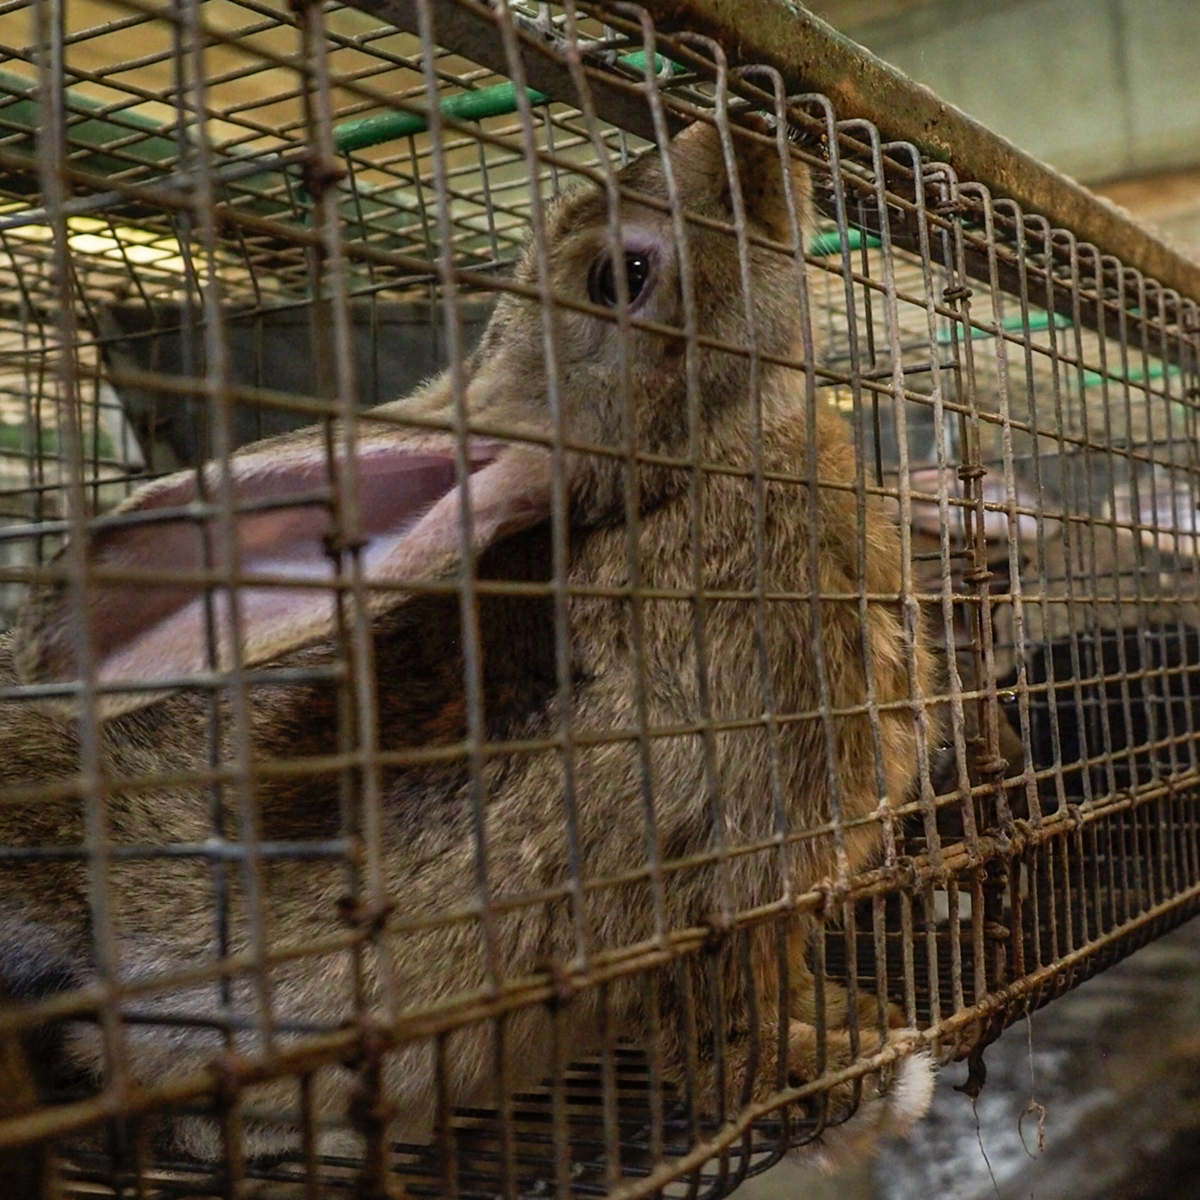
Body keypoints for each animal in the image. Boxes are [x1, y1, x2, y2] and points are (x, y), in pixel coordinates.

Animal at [0, 119, 936, 1171]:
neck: (680, 481)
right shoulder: (714, 871)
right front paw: (863, 1076)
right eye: (620, 274)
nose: (733, 134)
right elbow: (728, 1036)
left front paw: (860, 1015)